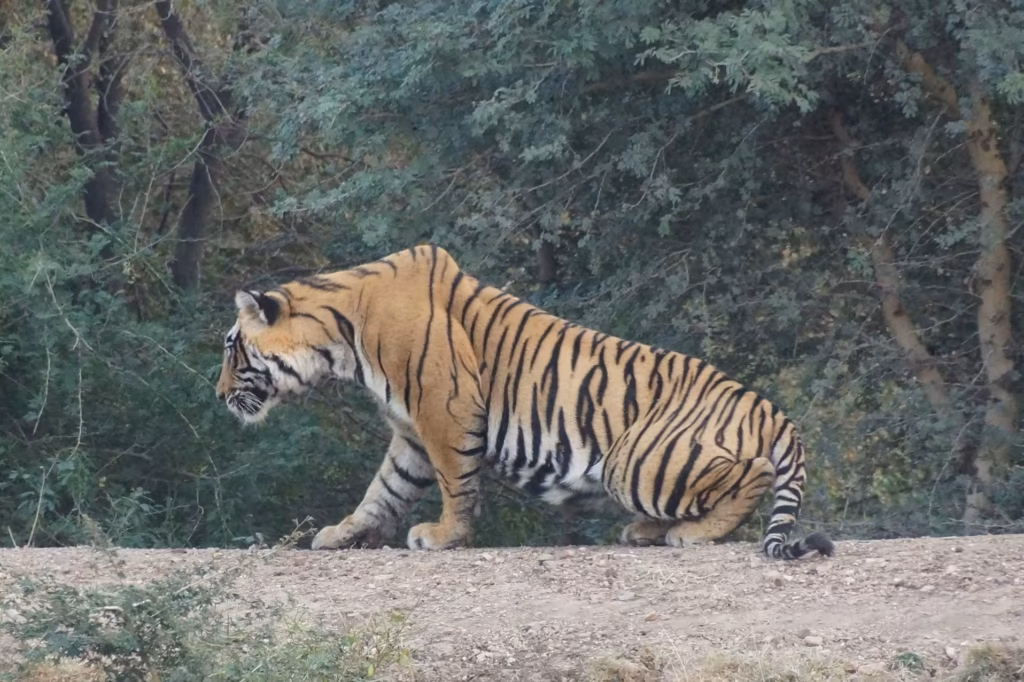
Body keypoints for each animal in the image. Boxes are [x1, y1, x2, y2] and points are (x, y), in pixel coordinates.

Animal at [216, 245, 833, 560]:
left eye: (230, 347)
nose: (219, 395)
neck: (341, 338)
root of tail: (771, 409)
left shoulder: (445, 411)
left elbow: (456, 484)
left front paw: (444, 537)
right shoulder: (410, 434)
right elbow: (382, 492)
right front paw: (343, 534)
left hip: (637, 460)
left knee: (752, 473)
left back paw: (690, 534)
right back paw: (646, 531)